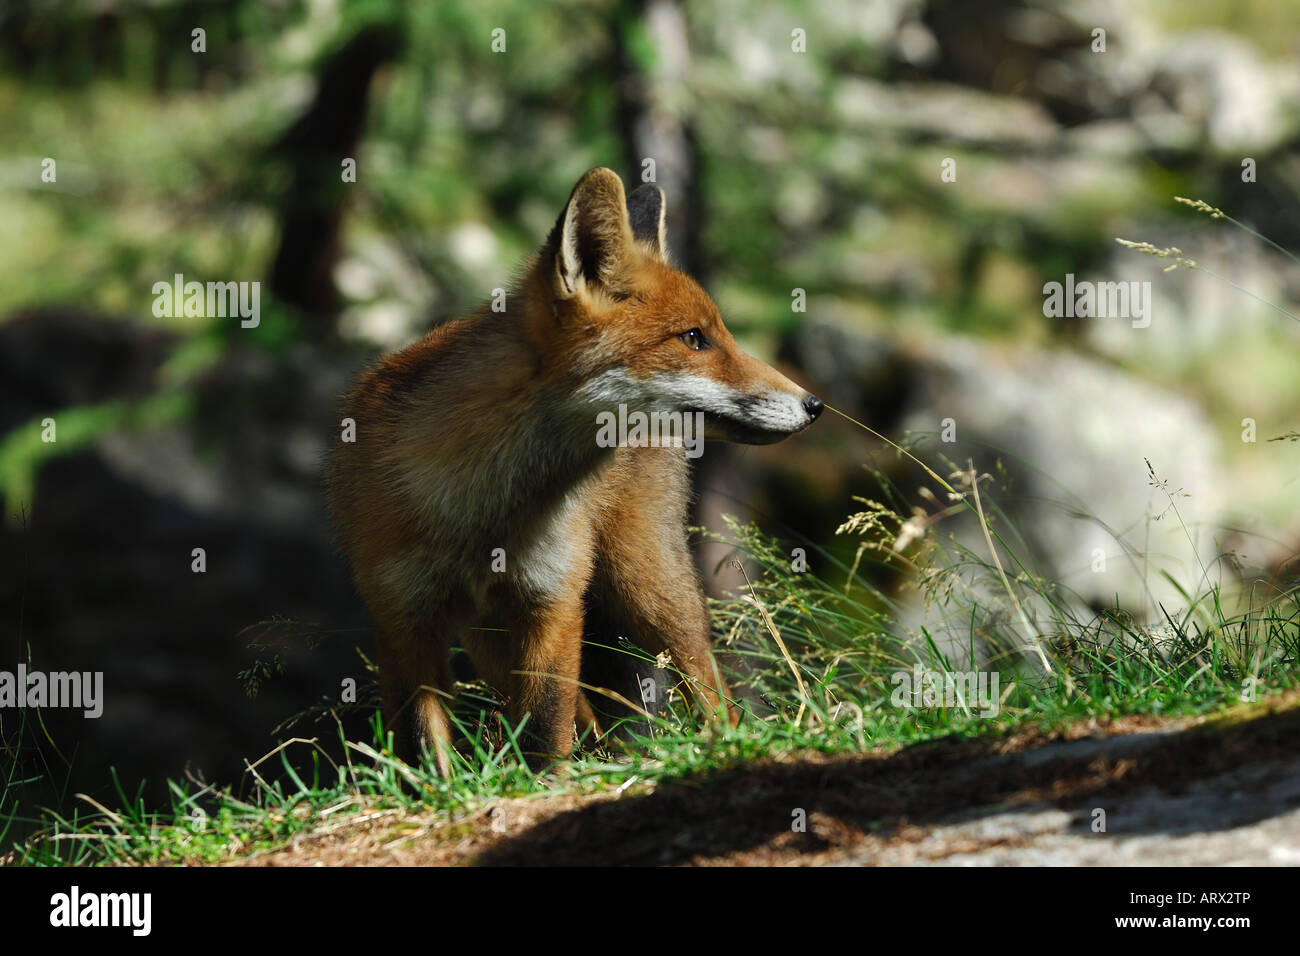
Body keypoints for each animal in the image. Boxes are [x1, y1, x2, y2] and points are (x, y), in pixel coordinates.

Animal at [330, 167, 826, 775]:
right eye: (694, 338)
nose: (814, 405)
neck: (484, 514)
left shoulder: (554, 597)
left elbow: (546, 726)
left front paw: (545, 785)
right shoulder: (401, 615)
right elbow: (423, 746)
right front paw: (446, 791)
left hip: (647, 586)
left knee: (708, 688)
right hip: (489, 638)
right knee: (589, 718)